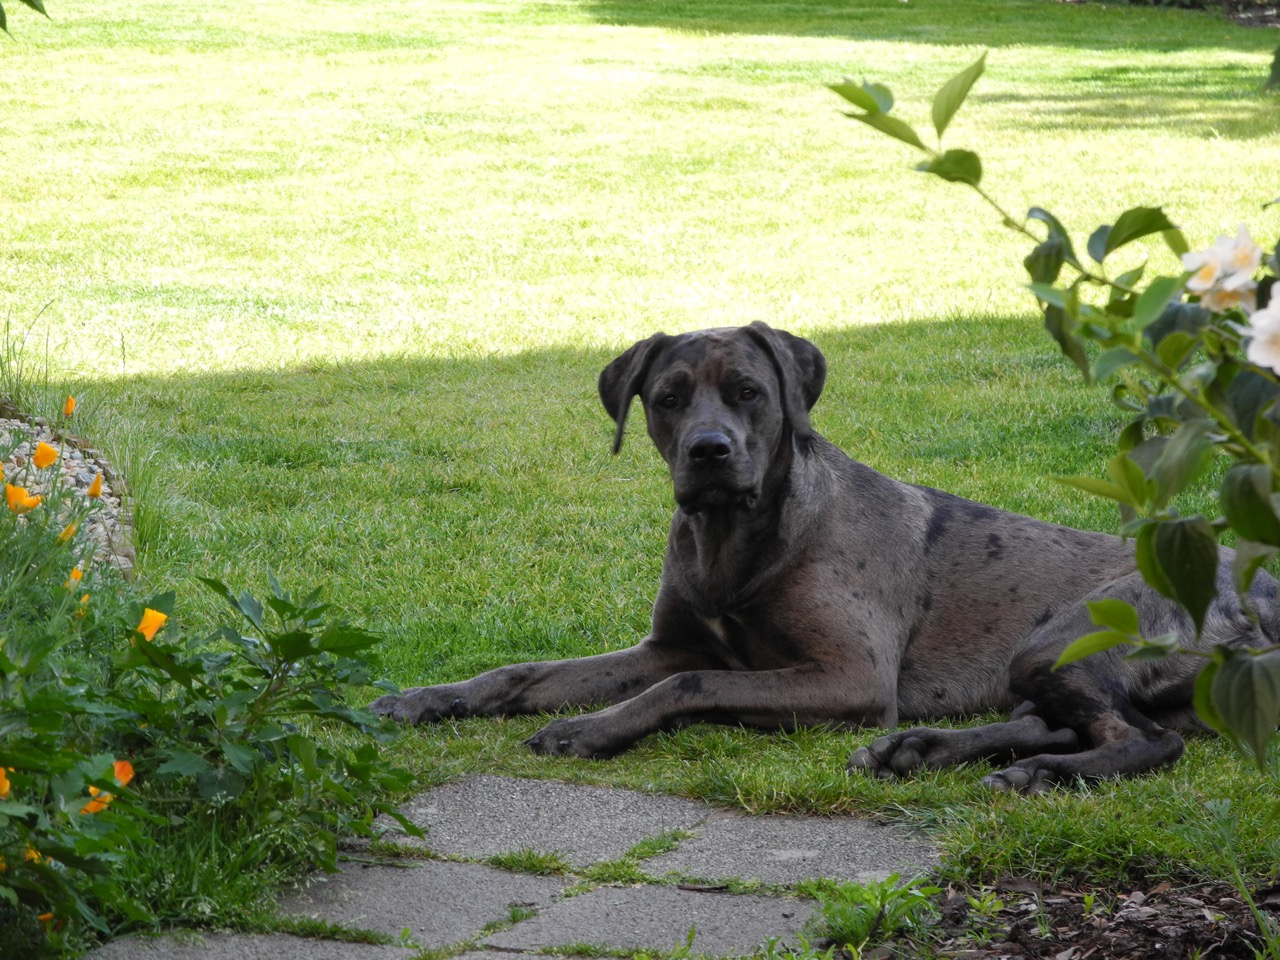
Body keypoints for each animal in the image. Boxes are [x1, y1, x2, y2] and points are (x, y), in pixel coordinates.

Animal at [373, 325, 1280, 798]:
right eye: (667, 398)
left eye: (749, 392)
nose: (709, 452)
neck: (735, 541)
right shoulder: (664, 642)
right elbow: (523, 672)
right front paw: (426, 697)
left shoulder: (849, 677)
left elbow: (690, 685)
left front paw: (591, 729)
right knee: (1055, 719)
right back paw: (918, 751)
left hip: (1066, 635)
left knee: (1144, 741)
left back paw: (1035, 774)